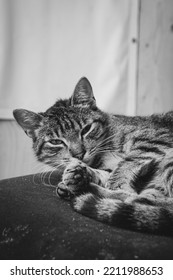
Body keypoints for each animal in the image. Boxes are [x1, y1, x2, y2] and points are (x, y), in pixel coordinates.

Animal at [13, 77, 173, 235]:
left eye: (86, 129)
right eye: (55, 142)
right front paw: (78, 174)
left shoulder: (155, 138)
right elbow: (106, 173)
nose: (78, 154)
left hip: (169, 160)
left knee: (156, 203)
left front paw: (113, 182)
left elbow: (126, 164)